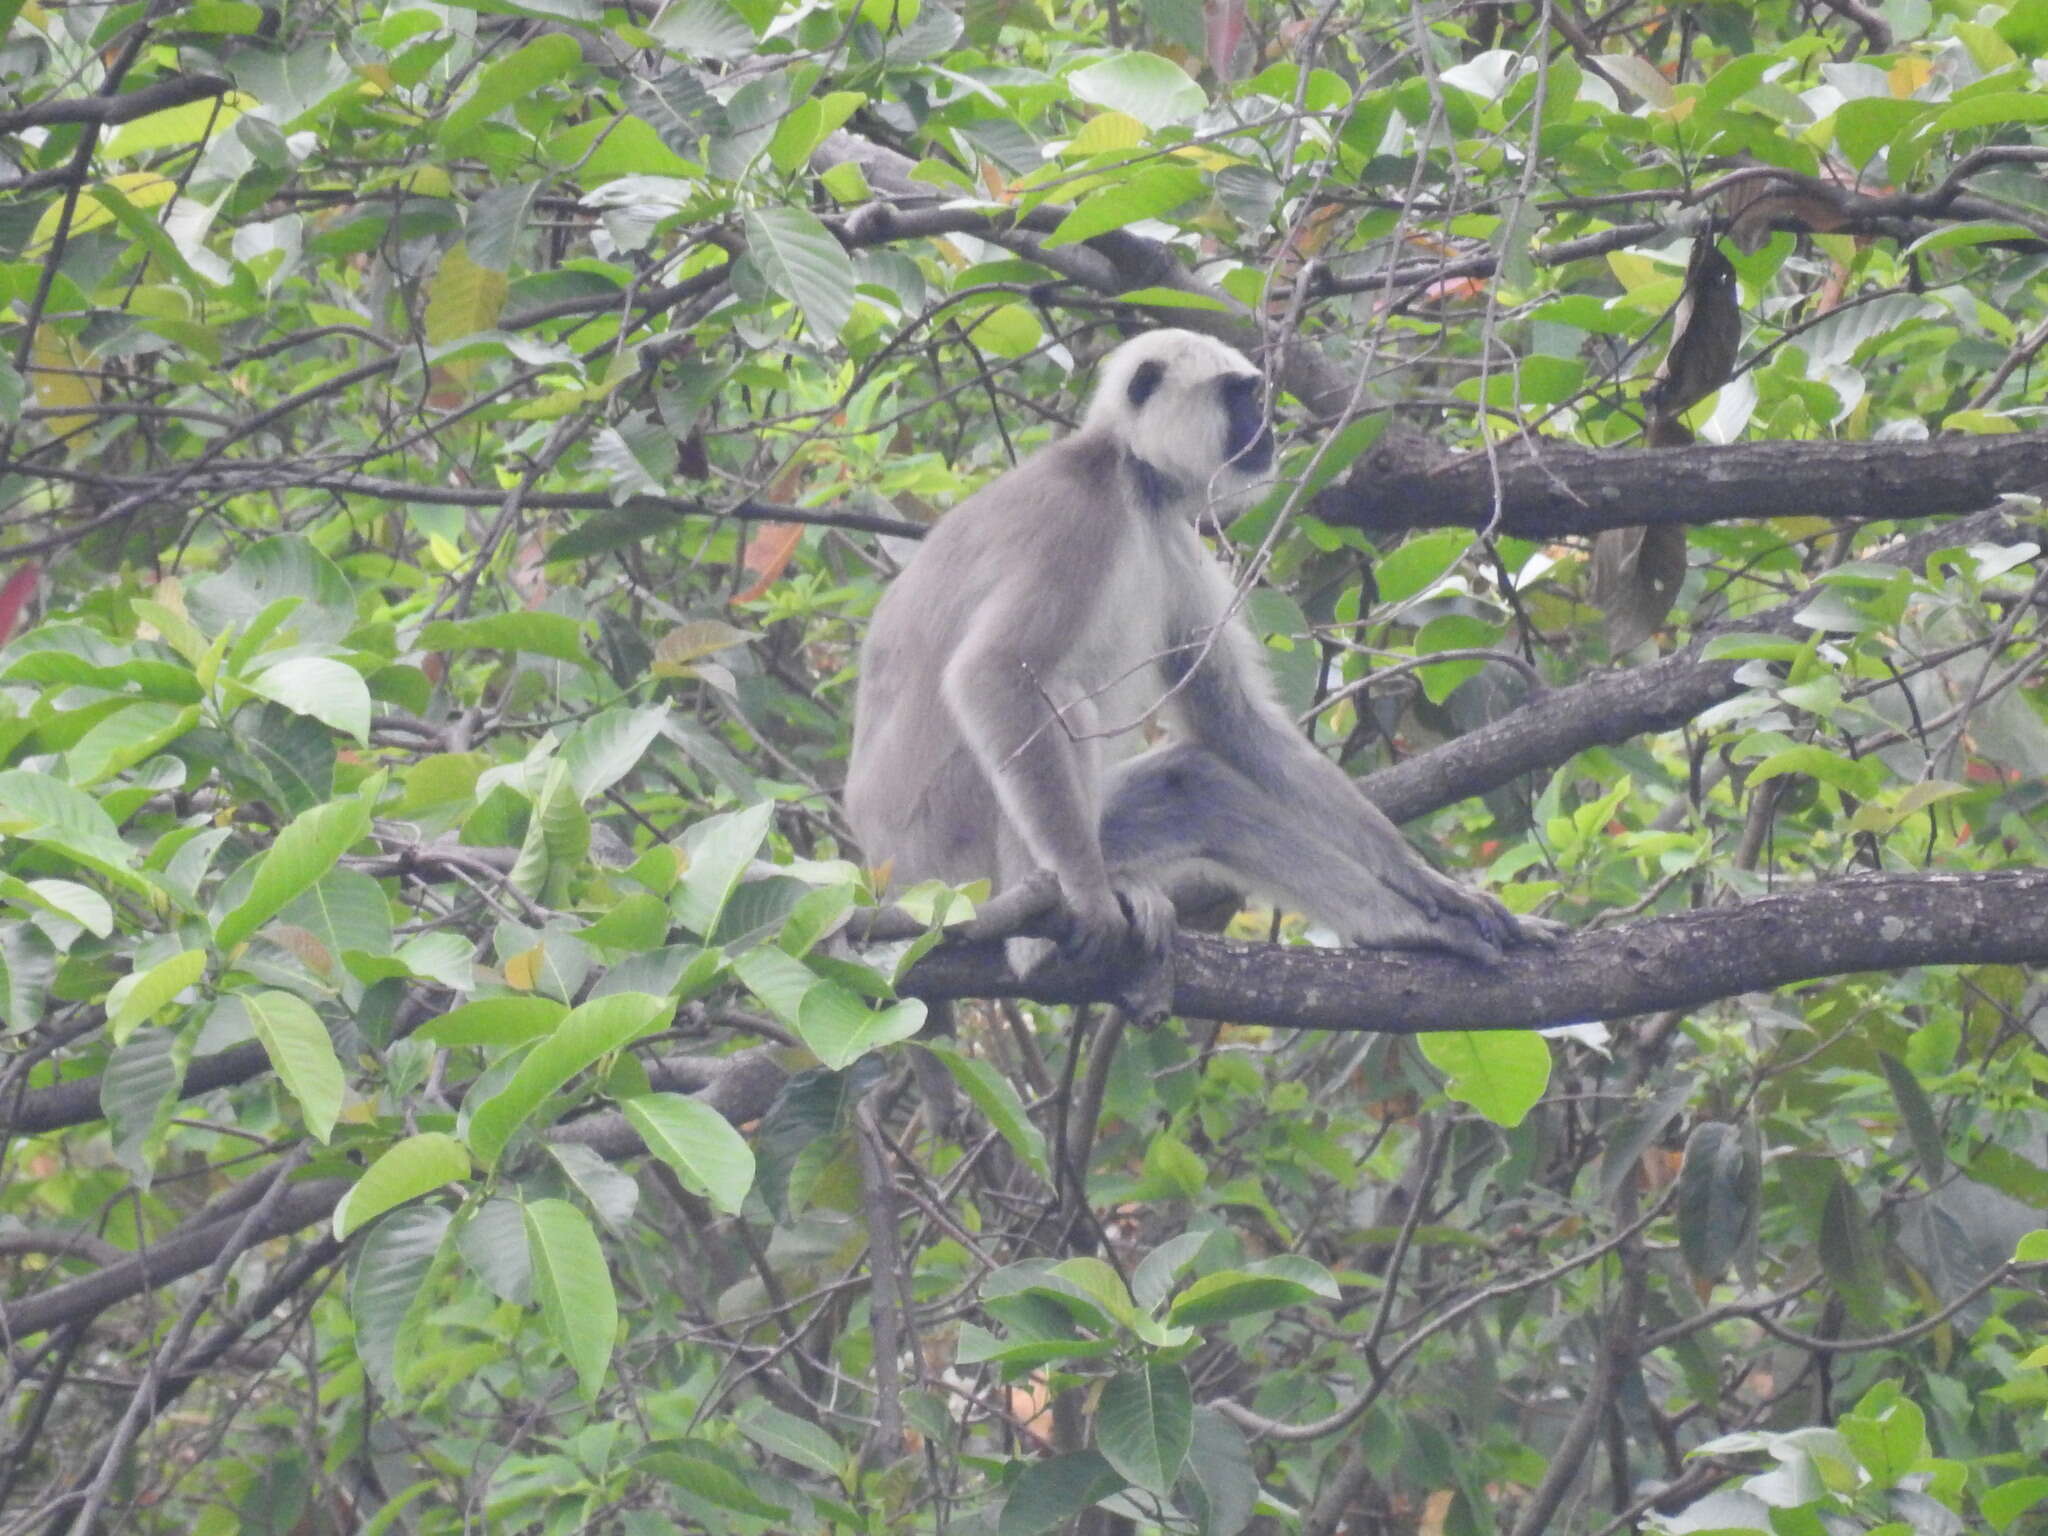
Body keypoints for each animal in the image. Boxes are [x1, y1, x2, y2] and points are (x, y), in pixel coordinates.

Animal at [839, 331, 1556, 966]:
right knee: (1055, 700)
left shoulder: (1170, 534)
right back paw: (1036, 940)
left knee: (1196, 783)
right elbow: (990, 676)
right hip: (958, 864)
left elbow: (1230, 716)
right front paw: (1090, 895)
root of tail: (884, 874)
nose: (1267, 425)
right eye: (1240, 396)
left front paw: (1428, 884)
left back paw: (1402, 926)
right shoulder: (1074, 516)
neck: (1131, 477)